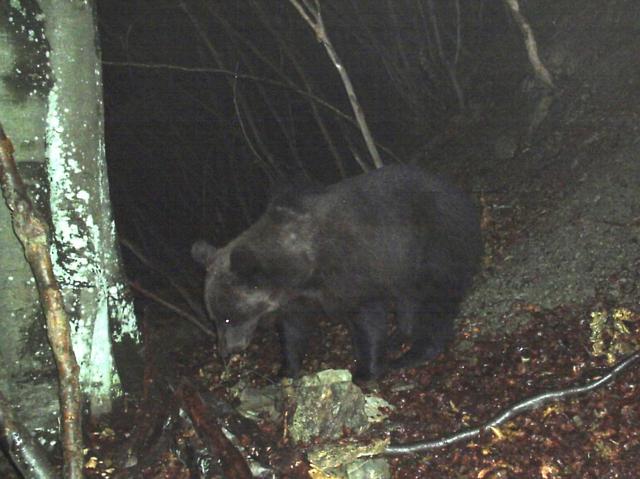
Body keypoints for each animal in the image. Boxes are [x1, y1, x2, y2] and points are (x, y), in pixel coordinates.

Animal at [192, 165, 482, 382]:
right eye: (213, 318)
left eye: (228, 318)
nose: (226, 351)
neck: (301, 266)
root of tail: (460, 194)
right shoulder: (296, 298)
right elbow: (292, 331)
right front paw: (285, 371)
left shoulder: (350, 270)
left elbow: (367, 316)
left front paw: (365, 370)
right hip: (403, 265)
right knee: (408, 300)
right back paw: (400, 336)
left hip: (433, 246)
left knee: (434, 299)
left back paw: (413, 354)